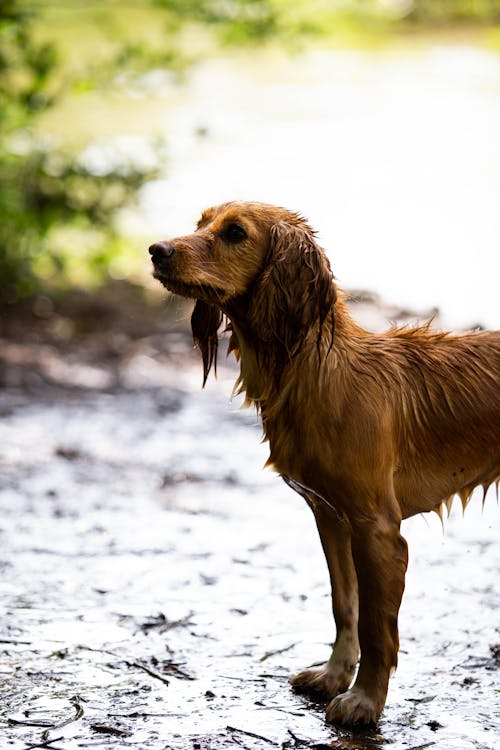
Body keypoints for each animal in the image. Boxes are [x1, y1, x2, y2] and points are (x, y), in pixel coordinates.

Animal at [149, 201, 500, 728]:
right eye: (200, 223)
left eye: (234, 233)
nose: (156, 250)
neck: (319, 369)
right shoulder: (331, 518)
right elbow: (344, 605)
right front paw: (335, 675)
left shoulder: (378, 530)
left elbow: (377, 627)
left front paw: (365, 701)